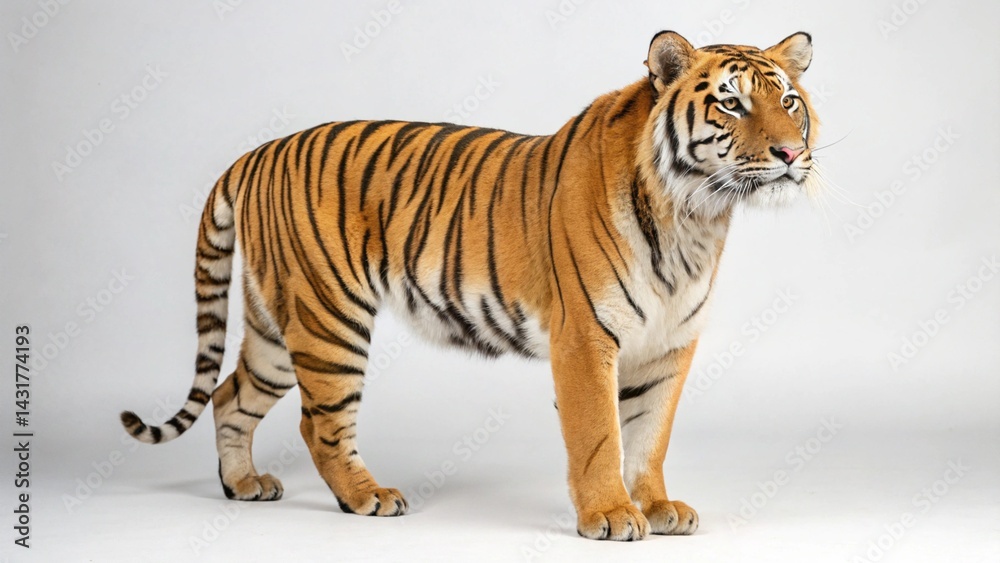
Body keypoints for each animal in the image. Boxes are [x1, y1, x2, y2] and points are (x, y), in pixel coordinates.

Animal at [121, 30, 818, 541]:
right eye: (732, 103)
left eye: (788, 102)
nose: (790, 154)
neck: (696, 215)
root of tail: (257, 152)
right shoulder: (585, 338)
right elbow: (600, 434)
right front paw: (612, 516)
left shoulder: (670, 343)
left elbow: (649, 435)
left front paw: (657, 506)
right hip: (328, 318)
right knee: (319, 424)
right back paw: (368, 497)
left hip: (276, 322)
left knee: (229, 394)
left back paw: (243, 485)